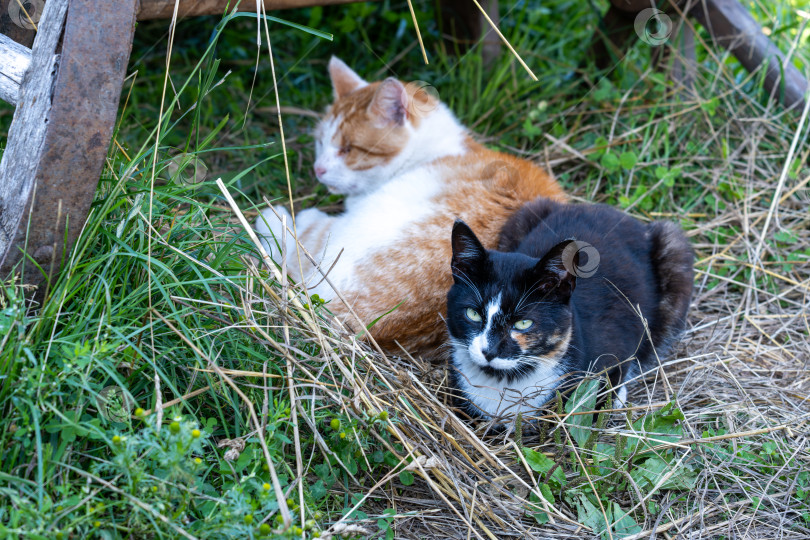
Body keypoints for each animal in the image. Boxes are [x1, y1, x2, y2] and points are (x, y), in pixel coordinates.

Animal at [446, 198, 692, 422]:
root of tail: (602, 208)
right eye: (473, 314)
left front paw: (615, 396)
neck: (506, 380)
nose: (489, 351)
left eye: (523, 323)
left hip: (674, 250)